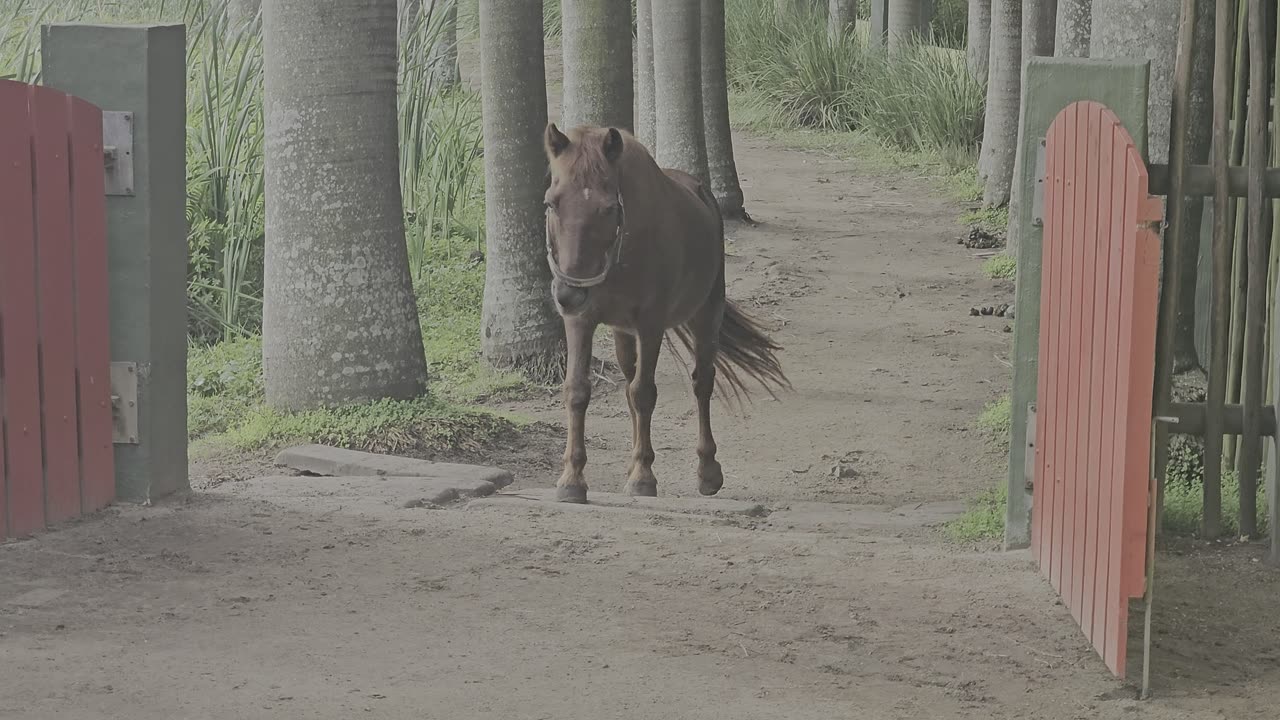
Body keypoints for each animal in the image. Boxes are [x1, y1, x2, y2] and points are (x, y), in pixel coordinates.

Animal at [542, 122, 788, 502]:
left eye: (608, 208)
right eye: (552, 203)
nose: (568, 293)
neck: (623, 251)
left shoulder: (650, 325)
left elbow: (644, 393)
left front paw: (643, 477)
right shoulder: (581, 321)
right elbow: (578, 391)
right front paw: (572, 479)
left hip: (706, 315)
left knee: (702, 383)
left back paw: (708, 472)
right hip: (622, 332)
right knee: (630, 383)